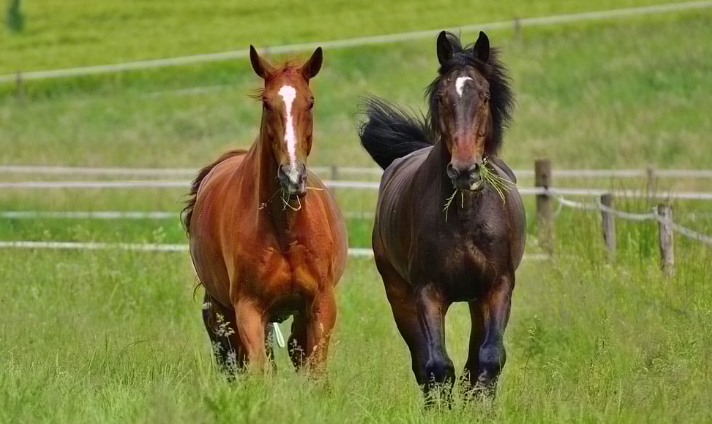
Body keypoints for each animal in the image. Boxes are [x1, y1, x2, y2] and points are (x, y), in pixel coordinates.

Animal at [183, 46, 348, 373]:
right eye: (267, 104)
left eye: (310, 101)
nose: (292, 176)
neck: (284, 229)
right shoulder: (249, 309)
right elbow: (259, 370)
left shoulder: (320, 305)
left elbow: (315, 371)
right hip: (225, 311)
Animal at [358, 31, 525, 400]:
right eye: (440, 96)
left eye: (485, 95)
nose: (464, 170)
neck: (465, 218)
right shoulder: (427, 292)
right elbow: (436, 366)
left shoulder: (498, 286)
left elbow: (488, 358)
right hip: (399, 294)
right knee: (423, 362)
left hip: (477, 300)